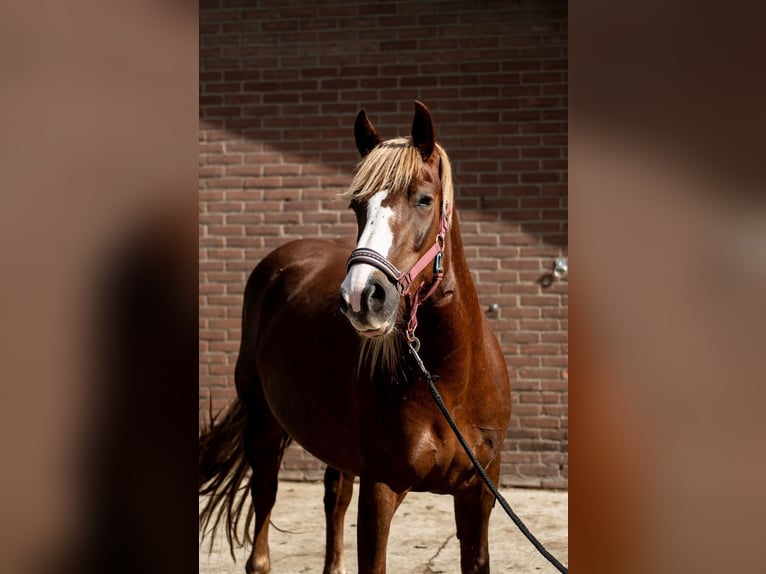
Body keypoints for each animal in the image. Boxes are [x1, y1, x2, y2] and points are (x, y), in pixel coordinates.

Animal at [200, 101, 512, 574]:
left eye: (424, 199)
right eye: (357, 204)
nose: (362, 296)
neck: (449, 381)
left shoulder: (479, 492)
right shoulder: (379, 490)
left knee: (334, 496)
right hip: (264, 428)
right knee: (264, 509)